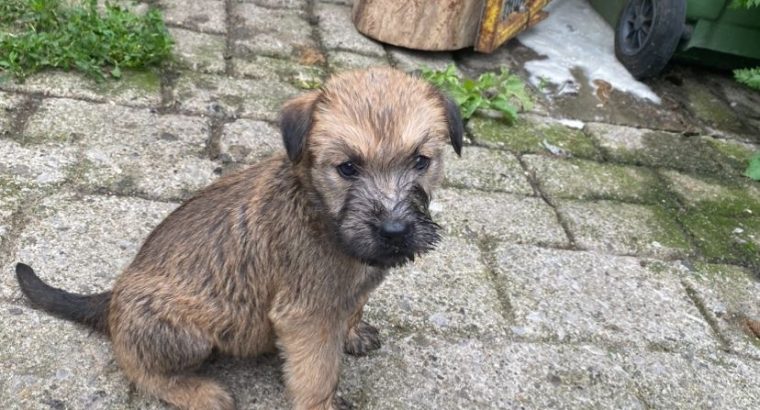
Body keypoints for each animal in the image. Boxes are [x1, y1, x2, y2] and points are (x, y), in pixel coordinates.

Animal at [14, 68, 464, 410]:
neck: (320, 210)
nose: (395, 232)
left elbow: (353, 308)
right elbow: (318, 374)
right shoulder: (306, 316)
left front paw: (353, 333)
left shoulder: (350, 290)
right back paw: (199, 392)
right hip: (184, 333)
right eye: (347, 168)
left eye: (421, 161)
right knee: (137, 365)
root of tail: (111, 298)